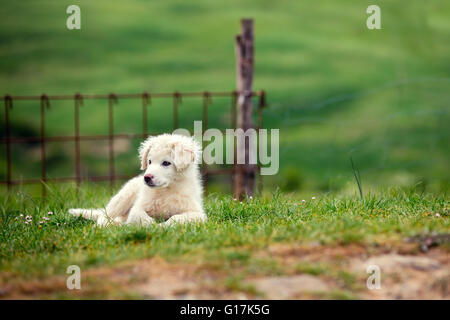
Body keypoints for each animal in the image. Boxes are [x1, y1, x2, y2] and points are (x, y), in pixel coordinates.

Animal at [68, 134, 206, 226]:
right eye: (149, 161)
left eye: (166, 163)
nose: (147, 177)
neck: (165, 191)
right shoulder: (138, 206)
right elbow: (139, 215)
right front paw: (152, 225)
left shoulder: (198, 213)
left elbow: (177, 218)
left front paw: (163, 225)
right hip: (122, 198)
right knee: (103, 216)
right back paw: (109, 224)